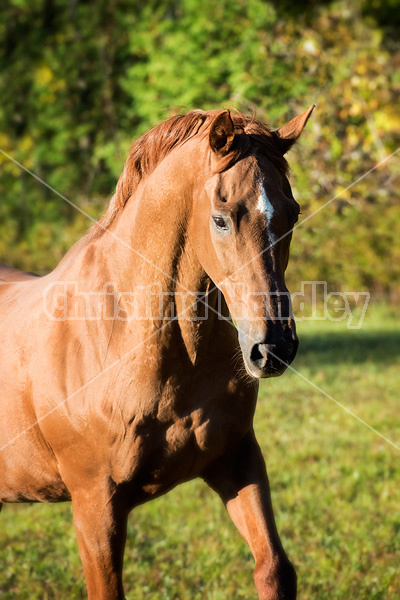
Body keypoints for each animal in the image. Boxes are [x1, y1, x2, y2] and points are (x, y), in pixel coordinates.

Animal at [0, 105, 312, 596]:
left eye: (292, 213)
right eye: (221, 218)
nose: (274, 347)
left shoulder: (237, 459)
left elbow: (274, 568)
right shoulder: (95, 502)